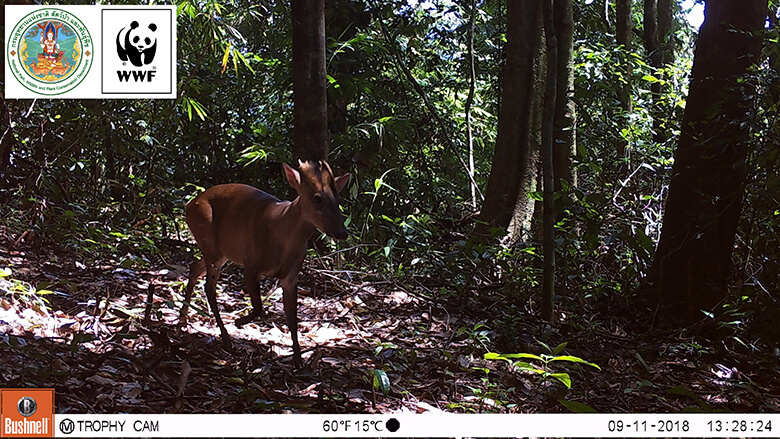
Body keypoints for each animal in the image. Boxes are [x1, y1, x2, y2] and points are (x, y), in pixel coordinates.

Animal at [180, 162, 350, 368]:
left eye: (337, 198)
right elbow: (260, 307)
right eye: (317, 198)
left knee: (194, 268)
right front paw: (239, 322)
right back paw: (226, 338)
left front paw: (298, 359)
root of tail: (190, 204)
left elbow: (292, 317)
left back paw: (182, 320)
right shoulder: (251, 264)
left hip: (221, 252)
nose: (342, 232)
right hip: (210, 242)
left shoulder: (291, 276)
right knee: (209, 287)